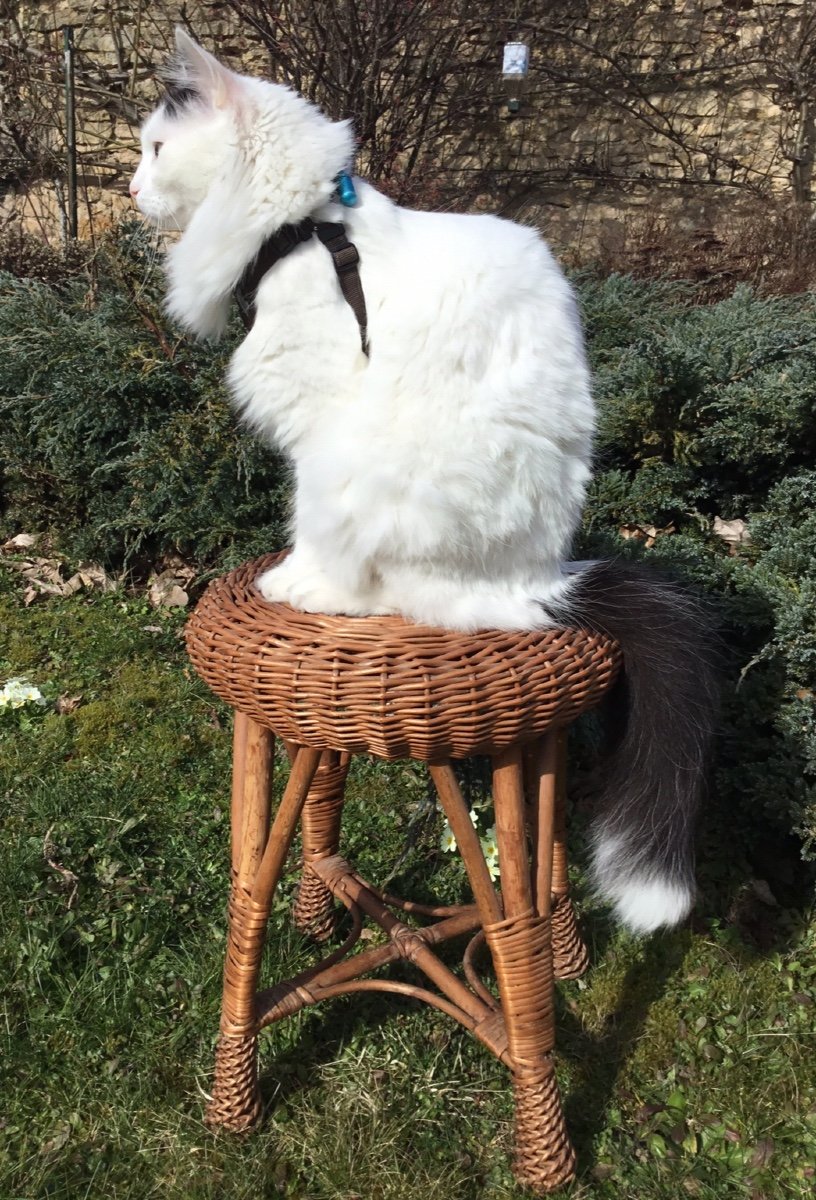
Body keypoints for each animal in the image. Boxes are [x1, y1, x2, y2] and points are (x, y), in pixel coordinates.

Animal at [130, 25, 715, 926]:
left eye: (157, 149)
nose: (130, 187)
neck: (304, 227)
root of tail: (541, 584)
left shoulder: (316, 428)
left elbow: (310, 532)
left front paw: (293, 577)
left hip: (365, 471)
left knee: (374, 588)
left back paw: (307, 589)